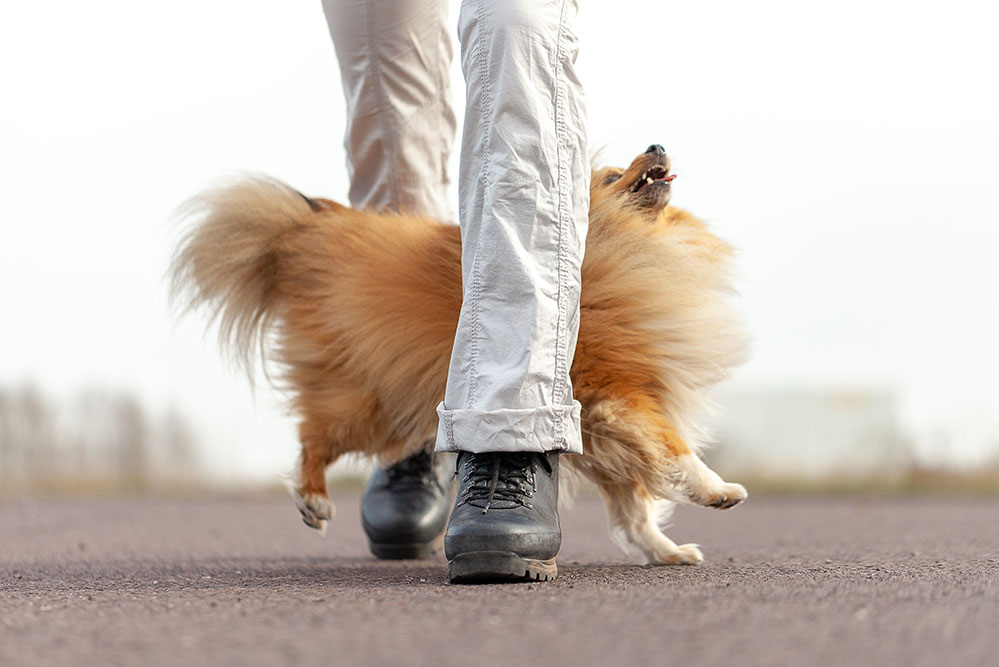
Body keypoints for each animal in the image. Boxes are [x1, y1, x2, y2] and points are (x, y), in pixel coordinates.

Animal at [172, 146, 752, 564]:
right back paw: (314, 500)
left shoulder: (603, 435)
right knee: (311, 439)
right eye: (613, 176)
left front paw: (668, 553)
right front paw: (719, 490)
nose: (657, 144)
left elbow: (634, 511)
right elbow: (675, 453)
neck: (625, 245)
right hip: (368, 409)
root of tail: (307, 235)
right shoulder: (619, 393)